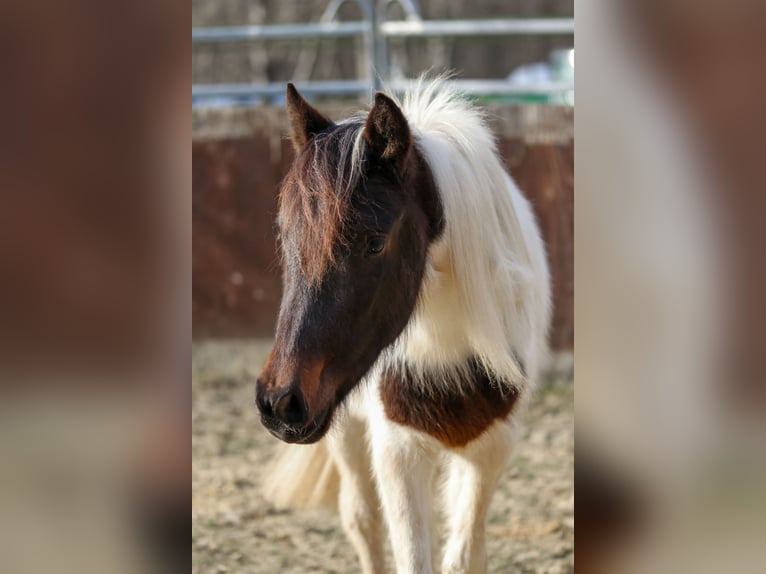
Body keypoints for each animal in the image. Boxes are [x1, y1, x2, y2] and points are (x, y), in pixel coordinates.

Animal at [255, 77, 551, 574]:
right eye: (284, 233)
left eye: (375, 242)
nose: (279, 403)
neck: (450, 346)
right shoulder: (397, 450)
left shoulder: (491, 450)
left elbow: (464, 555)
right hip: (345, 431)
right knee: (361, 518)